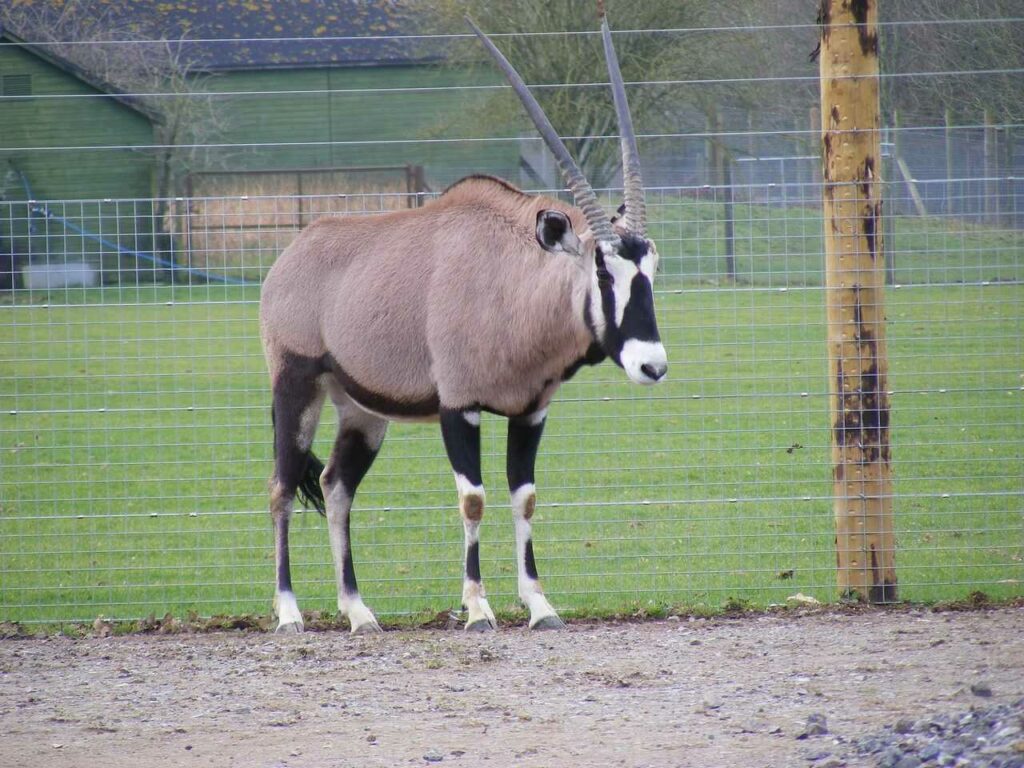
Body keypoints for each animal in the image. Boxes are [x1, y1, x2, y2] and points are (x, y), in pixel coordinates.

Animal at [260, 12, 667, 634]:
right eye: (603, 270)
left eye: (651, 268)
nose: (652, 365)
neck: (511, 282)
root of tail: (292, 254)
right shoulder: (460, 406)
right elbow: (473, 498)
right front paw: (477, 608)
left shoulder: (530, 411)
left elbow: (524, 497)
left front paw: (540, 606)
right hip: (296, 386)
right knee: (282, 487)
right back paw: (288, 613)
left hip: (362, 411)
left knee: (334, 486)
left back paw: (359, 611)